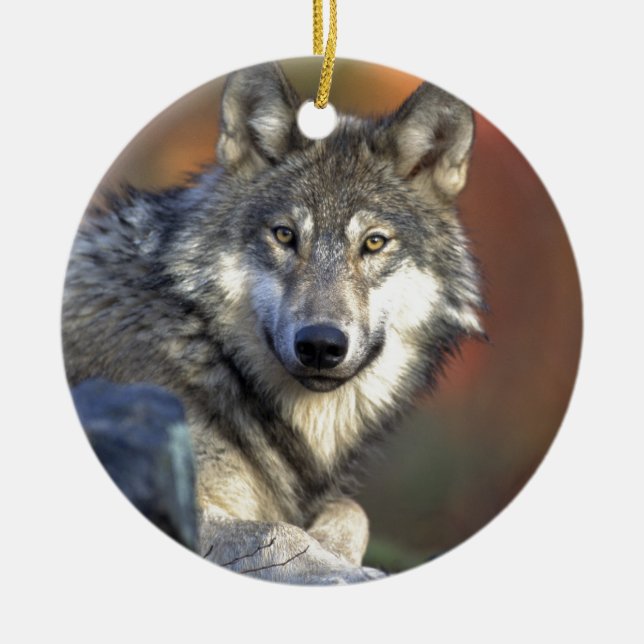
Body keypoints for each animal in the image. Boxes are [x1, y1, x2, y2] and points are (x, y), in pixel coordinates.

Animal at [62, 62, 483, 584]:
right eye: (284, 235)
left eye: (374, 243)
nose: (321, 345)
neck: (205, 347)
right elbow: (278, 532)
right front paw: (345, 572)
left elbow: (352, 510)